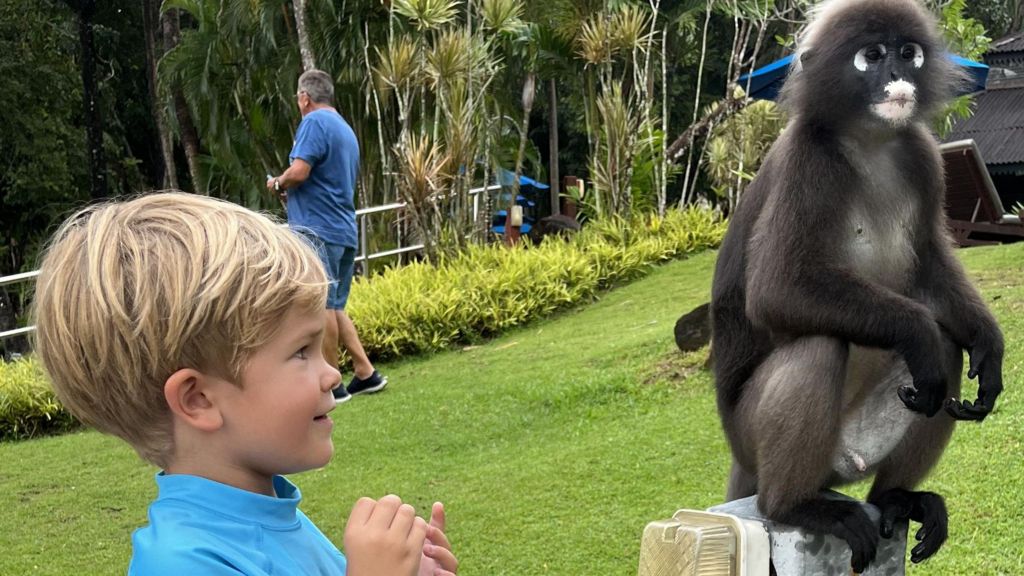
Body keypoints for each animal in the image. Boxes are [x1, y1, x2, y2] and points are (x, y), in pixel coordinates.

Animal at [709, 0, 1006, 572]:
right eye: (871, 56)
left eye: (907, 52)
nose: (895, 75)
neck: (870, 143)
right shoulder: (809, 160)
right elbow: (779, 288)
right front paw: (918, 333)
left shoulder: (922, 155)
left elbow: (930, 267)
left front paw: (990, 345)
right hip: (754, 438)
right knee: (820, 347)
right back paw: (794, 506)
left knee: (947, 353)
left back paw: (894, 497)